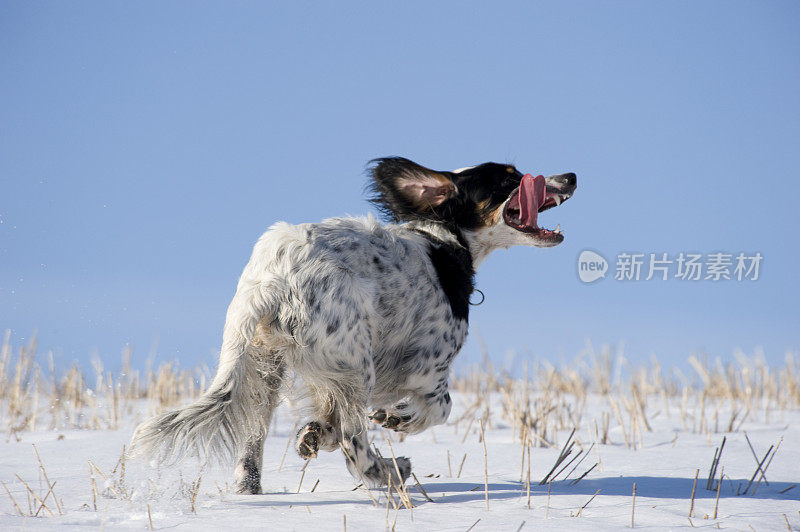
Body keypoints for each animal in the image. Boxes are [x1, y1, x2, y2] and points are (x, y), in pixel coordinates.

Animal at [134, 158, 580, 494]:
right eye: (509, 177)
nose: (571, 176)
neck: (446, 240)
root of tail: (275, 276)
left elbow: (326, 423)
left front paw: (315, 434)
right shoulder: (428, 367)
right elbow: (441, 407)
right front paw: (400, 418)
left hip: (263, 367)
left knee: (252, 441)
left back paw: (253, 489)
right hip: (356, 362)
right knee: (355, 442)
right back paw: (390, 471)